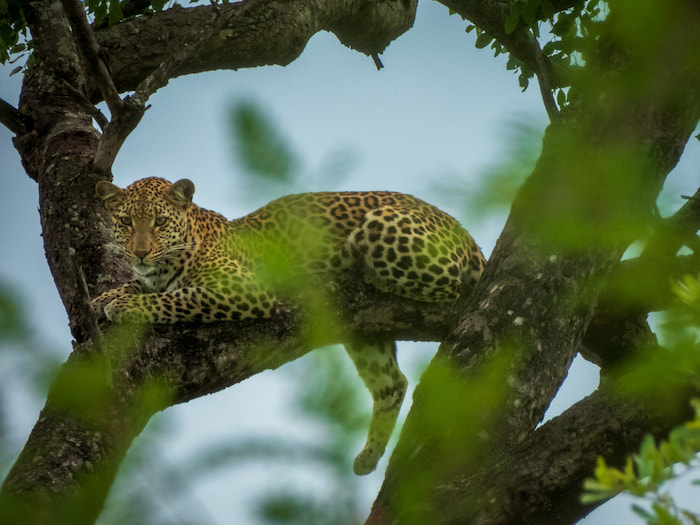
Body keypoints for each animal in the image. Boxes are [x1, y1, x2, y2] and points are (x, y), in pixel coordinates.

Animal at [92, 176, 486, 475]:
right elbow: (142, 285)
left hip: (381, 227)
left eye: (159, 222)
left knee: (449, 286)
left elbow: (174, 298)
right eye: (126, 222)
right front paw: (105, 297)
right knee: (394, 384)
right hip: (364, 332)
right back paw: (368, 457)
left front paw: (124, 304)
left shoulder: (243, 288)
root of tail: (464, 233)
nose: (140, 252)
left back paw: (361, 268)